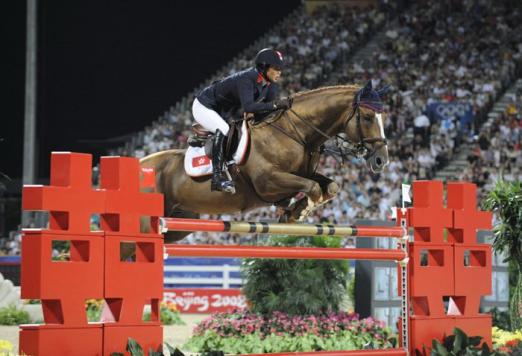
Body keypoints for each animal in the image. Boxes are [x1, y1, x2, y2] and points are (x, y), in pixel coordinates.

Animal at [140, 80, 388, 242]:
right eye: (368, 117)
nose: (381, 161)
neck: (295, 132)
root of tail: (142, 163)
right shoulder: (267, 182)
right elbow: (313, 188)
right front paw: (297, 211)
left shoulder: (303, 173)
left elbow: (330, 186)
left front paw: (295, 211)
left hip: (180, 223)